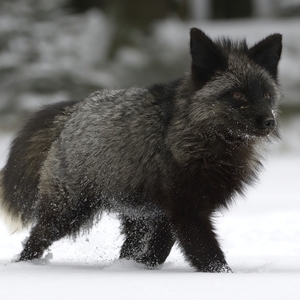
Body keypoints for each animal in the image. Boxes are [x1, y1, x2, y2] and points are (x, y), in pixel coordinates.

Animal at [0, 28, 282, 272]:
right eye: (238, 95)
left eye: (267, 95)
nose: (270, 122)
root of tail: (73, 110)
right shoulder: (187, 211)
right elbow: (208, 256)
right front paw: (226, 278)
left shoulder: (169, 215)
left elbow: (159, 251)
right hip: (68, 213)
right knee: (35, 238)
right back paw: (25, 267)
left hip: (137, 215)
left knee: (130, 248)